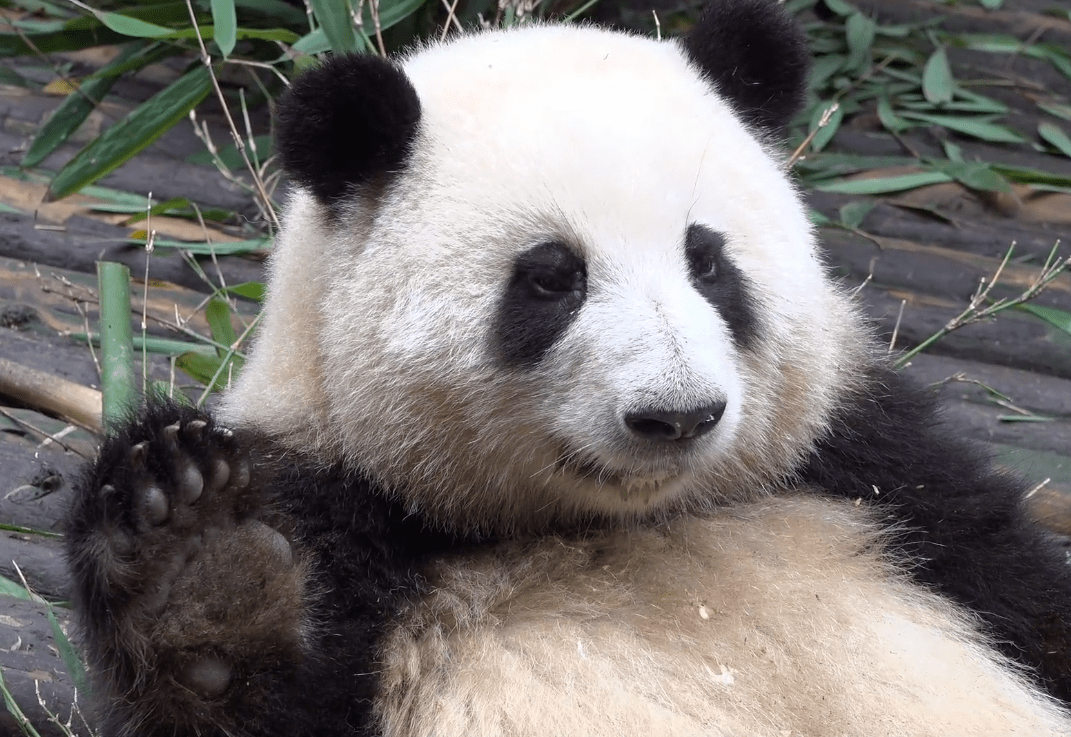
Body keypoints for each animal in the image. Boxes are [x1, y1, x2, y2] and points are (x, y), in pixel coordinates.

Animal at [64, 1, 1071, 736]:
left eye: (708, 261)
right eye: (551, 277)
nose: (678, 414)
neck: (599, 520)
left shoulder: (872, 471)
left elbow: (1023, 592)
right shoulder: (342, 506)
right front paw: (197, 556)